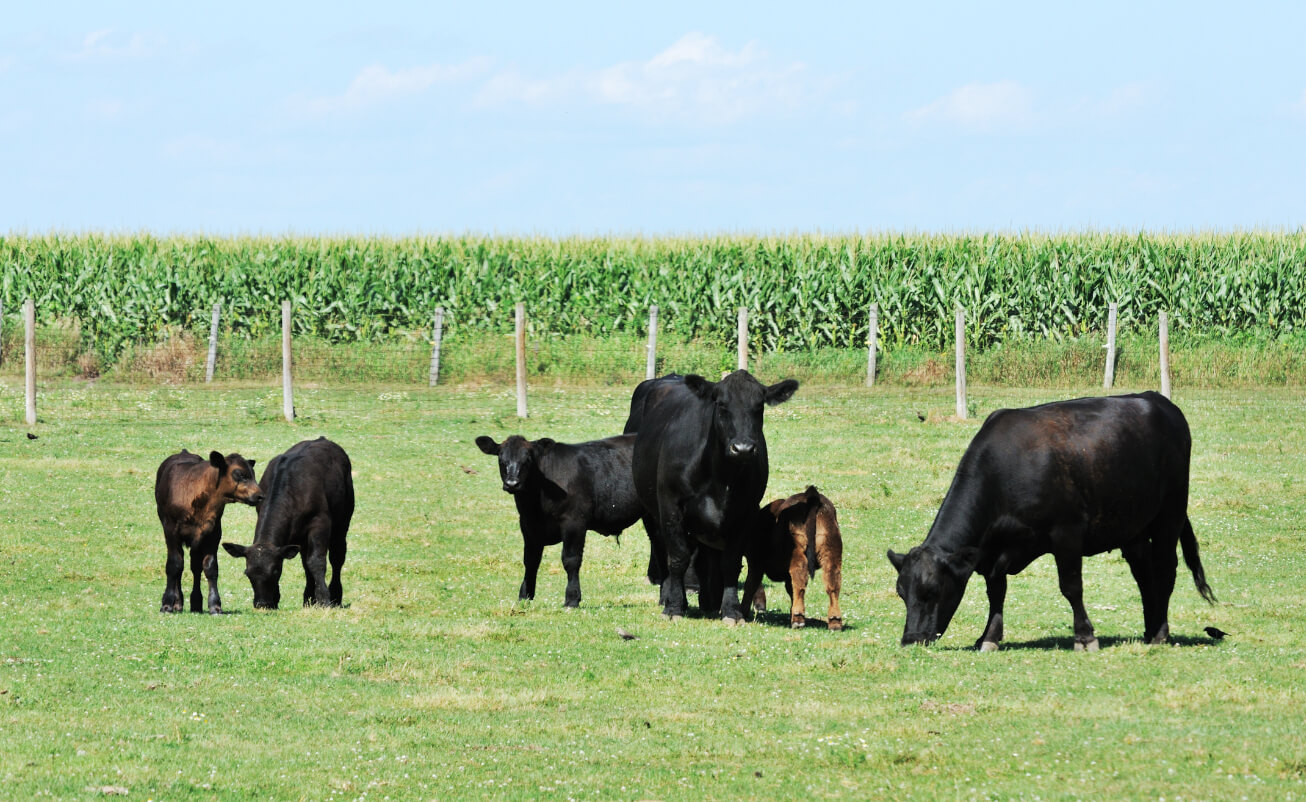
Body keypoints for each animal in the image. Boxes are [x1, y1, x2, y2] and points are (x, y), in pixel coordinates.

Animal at [155, 451, 262, 616]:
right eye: (239, 474)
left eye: (253, 474)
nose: (260, 495)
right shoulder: (171, 531)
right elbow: (174, 565)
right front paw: (167, 605)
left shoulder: (213, 533)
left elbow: (210, 567)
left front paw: (215, 606)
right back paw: (178, 604)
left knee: (195, 567)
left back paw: (195, 603)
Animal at [223, 438, 355, 608]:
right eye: (248, 573)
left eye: (275, 572)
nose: (262, 603)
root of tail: (323, 439)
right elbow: (307, 562)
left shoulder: (320, 523)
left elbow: (317, 561)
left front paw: (324, 599)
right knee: (306, 562)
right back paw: (308, 598)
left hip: (343, 520)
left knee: (337, 557)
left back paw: (336, 596)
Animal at [477, 433, 645, 608]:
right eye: (500, 459)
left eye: (528, 460)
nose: (512, 484)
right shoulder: (528, 525)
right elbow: (530, 560)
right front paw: (525, 596)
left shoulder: (574, 522)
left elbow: (570, 559)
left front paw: (572, 598)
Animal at [747, 485, 846, 632]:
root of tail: (811, 496)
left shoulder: (755, 563)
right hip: (832, 555)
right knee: (832, 585)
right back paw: (835, 622)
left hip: (798, 555)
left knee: (799, 584)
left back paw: (798, 620)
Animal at [888, 394, 1211, 653]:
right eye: (901, 593)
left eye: (932, 590)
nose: (910, 640)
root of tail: (1159, 401)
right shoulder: (994, 551)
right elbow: (996, 592)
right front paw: (989, 638)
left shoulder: (1066, 533)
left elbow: (1071, 587)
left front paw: (1085, 637)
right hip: (1133, 528)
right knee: (1144, 575)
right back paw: (1148, 629)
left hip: (1170, 514)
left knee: (1165, 570)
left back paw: (1160, 634)